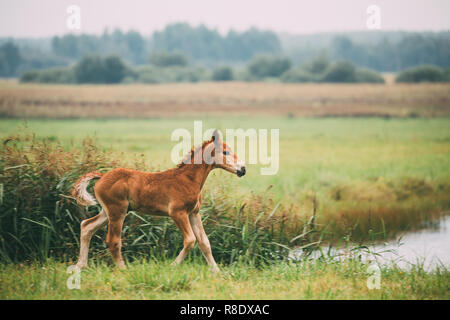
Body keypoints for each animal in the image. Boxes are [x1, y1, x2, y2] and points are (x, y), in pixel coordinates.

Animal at [72, 129, 246, 272]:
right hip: (117, 211)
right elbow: (190, 240)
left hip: (107, 211)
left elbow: (204, 242)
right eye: (225, 152)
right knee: (113, 241)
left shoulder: (193, 213)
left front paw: (217, 272)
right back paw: (123, 269)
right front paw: (172, 266)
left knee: (86, 226)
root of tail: (101, 177)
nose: (242, 169)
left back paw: (80, 265)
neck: (188, 179)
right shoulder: (177, 213)